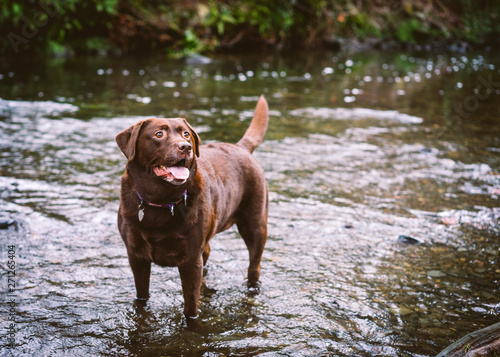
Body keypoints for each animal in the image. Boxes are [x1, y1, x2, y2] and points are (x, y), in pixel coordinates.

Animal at [115, 94, 270, 318]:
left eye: (186, 134)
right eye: (159, 134)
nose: (185, 147)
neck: (160, 200)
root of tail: (240, 147)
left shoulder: (190, 260)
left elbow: (190, 306)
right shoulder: (136, 256)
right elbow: (142, 295)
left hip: (255, 225)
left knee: (254, 265)